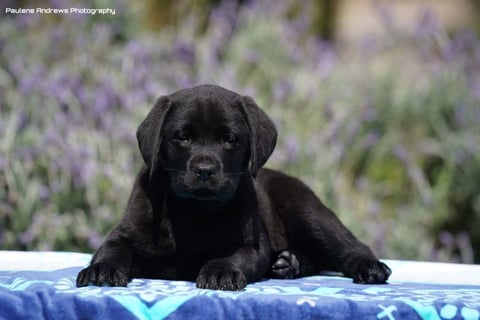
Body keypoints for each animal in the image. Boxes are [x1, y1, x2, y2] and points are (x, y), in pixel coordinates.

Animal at [75, 84, 390, 290]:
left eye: (229, 139)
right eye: (182, 137)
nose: (204, 169)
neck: (194, 211)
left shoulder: (250, 244)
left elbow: (233, 256)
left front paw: (220, 272)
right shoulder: (125, 232)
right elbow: (112, 249)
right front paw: (101, 269)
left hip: (307, 211)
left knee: (349, 245)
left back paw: (368, 267)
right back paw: (288, 263)